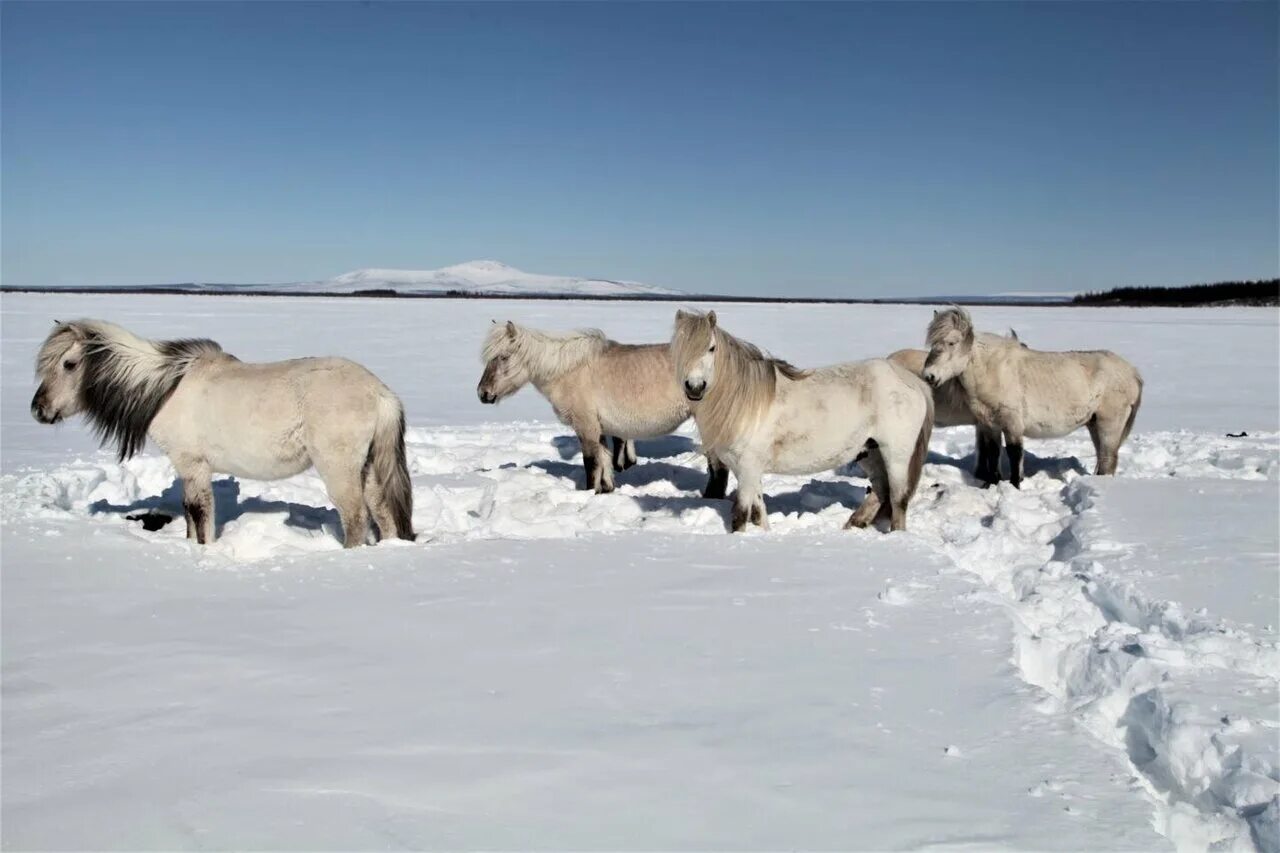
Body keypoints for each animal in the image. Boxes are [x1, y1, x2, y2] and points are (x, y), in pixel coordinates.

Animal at [31, 319, 414, 548]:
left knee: (356, 517)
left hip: (339, 469)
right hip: (367, 468)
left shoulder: (193, 465)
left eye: (69, 364)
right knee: (382, 512)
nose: (38, 409)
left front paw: (203, 549)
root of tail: (380, 392)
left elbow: (199, 513)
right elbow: (190, 513)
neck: (165, 388)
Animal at [477, 321, 729, 497]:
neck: (569, 370)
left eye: (503, 357)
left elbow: (591, 463)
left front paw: (589, 493)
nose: (482, 393)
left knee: (718, 468)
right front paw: (604, 490)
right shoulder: (600, 428)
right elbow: (605, 461)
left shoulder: (586, 426)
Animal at [670, 310, 934, 533]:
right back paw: (854, 524)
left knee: (898, 498)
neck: (743, 402)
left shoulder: (747, 466)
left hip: (896, 454)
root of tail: (910, 379)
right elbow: (759, 512)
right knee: (880, 489)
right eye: (677, 349)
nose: (695, 387)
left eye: (711, 348)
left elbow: (741, 515)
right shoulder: (747, 469)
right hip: (870, 452)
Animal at [921, 307, 1142, 487]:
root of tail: (1132, 372)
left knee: (1107, 459)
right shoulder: (988, 424)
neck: (994, 371)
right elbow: (992, 454)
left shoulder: (1012, 424)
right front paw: (991, 484)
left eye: (951, 342)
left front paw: (1015, 486)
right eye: (932, 344)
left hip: (1108, 425)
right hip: (1094, 424)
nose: (928, 376)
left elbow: (1014, 454)